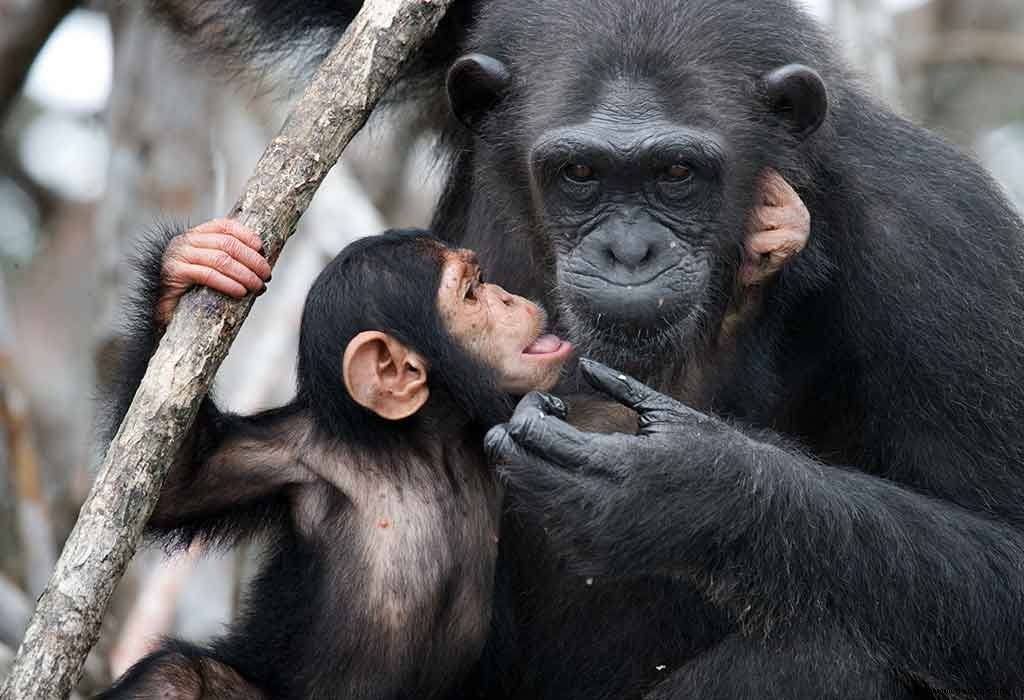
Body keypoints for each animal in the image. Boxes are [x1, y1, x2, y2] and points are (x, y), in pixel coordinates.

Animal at [99, 225, 573, 700]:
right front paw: (194, 262)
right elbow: (178, 484)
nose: (507, 297)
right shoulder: (290, 454)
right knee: (174, 675)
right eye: (472, 293)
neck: (422, 447)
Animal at [148, 0, 1024, 695]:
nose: (628, 250)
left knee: (841, 651)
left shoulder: (939, 243)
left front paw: (681, 488)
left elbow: (1003, 559)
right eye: (578, 173)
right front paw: (192, 268)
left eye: (677, 172)